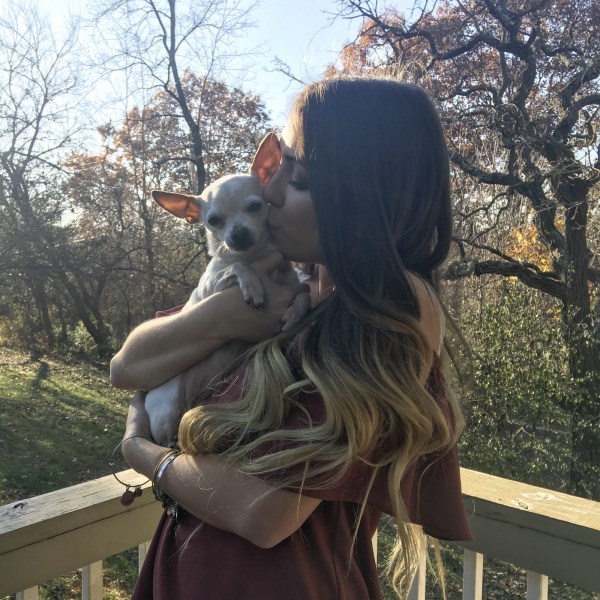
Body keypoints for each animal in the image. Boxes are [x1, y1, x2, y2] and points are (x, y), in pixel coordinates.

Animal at [143, 135, 308, 446]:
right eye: (213, 221)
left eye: (255, 206)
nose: (238, 234)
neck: (255, 257)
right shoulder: (211, 286)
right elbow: (237, 268)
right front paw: (253, 286)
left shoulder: (290, 279)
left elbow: (303, 291)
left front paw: (294, 313)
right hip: (165, 409)